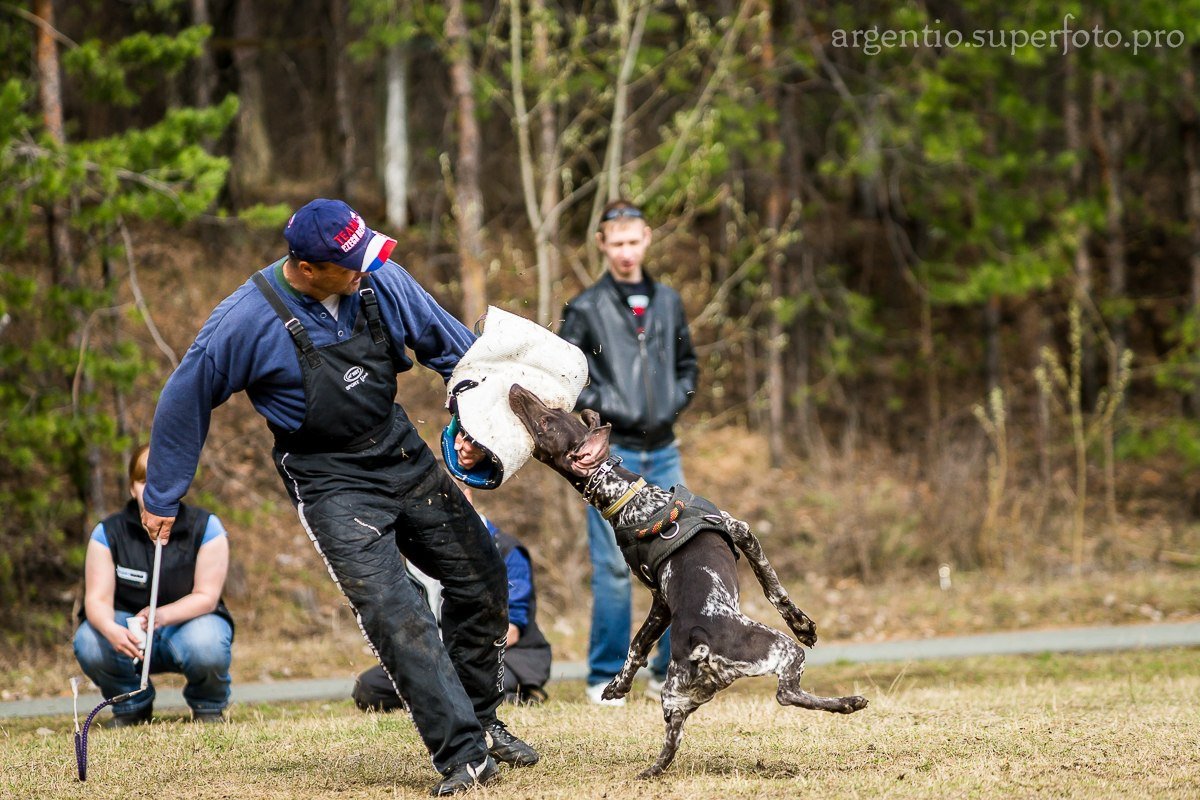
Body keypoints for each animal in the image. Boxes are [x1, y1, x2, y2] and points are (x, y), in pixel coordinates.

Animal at [508, 384, 868, 778]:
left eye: (550, 418)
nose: (515, 389)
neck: (630, 499)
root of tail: (703, 644)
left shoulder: (659, 601)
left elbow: (637, 645)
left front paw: (618, 685)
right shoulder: (740, 530)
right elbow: (773, 588)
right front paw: (803, 624)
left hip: (675, 701)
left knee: (668, 749)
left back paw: (649, 770)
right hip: (783, 651)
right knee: (786, 693)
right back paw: (849, 702)